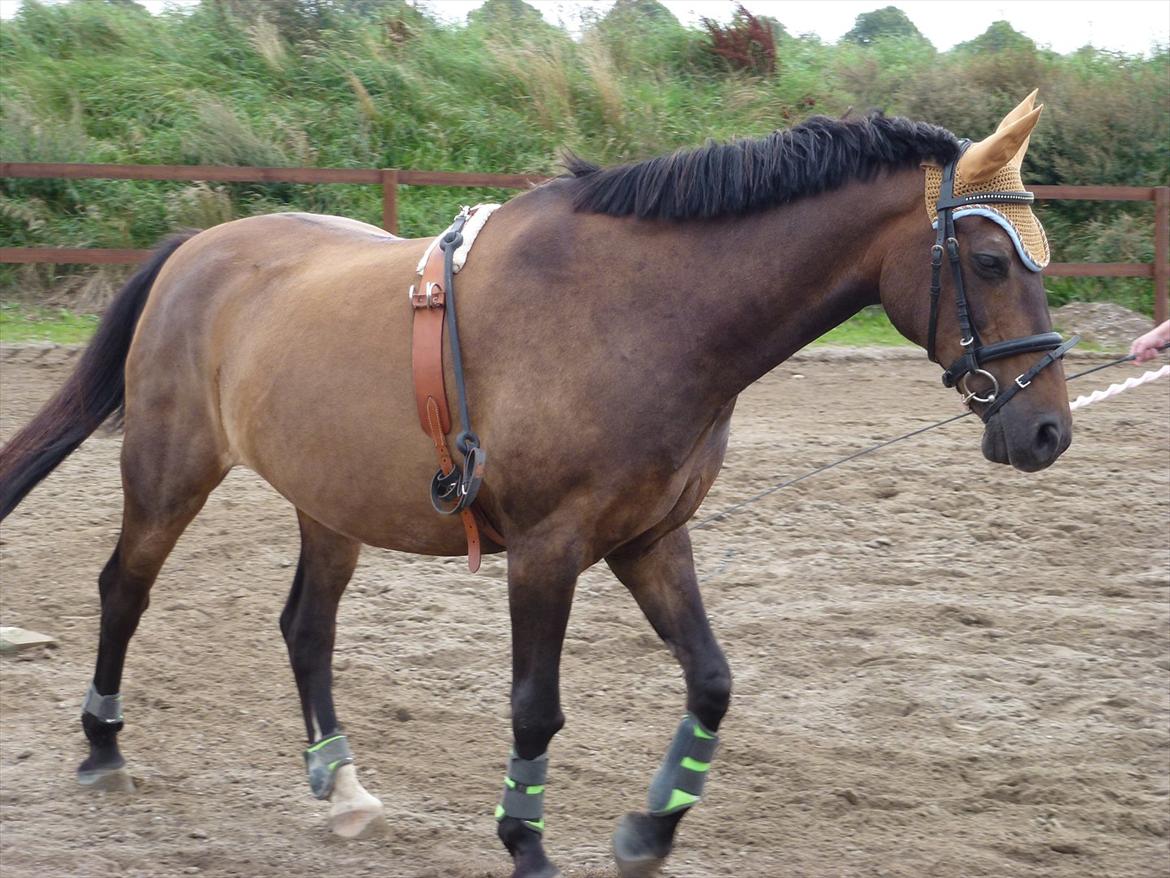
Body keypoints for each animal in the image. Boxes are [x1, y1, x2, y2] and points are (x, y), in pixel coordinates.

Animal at [0, 93, 1071, 875]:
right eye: (987, 259)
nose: (1047, 429)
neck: (640, 313)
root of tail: (199, 248)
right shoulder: (548, 550)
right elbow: (534, 706)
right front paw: (526, 843)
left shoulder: (650, 540)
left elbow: (713, 682)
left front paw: (648, 831)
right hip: (168, 473)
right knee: (123, 589)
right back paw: (102, 749)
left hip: (329, 502)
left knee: (305, 628)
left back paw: (341, 788)